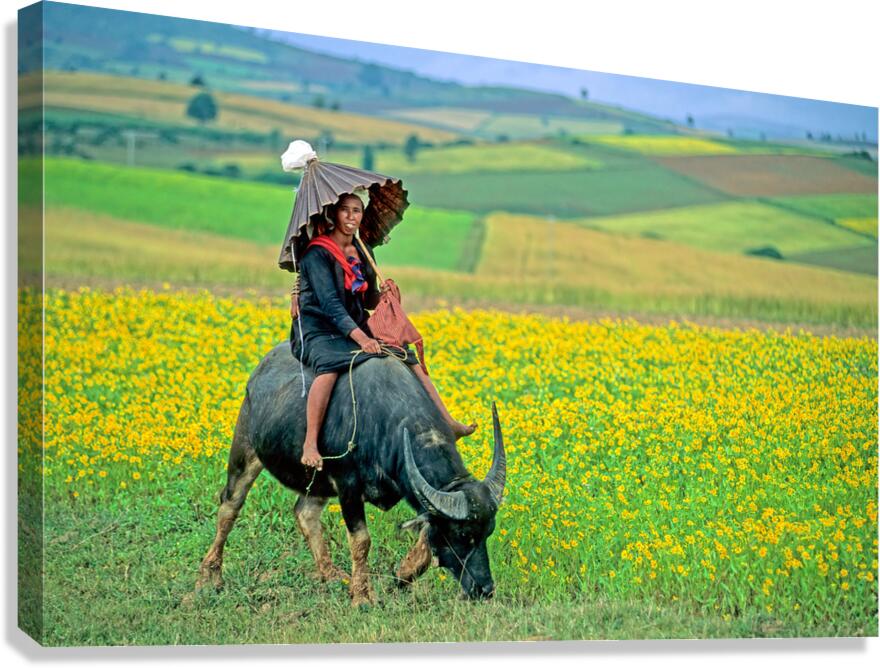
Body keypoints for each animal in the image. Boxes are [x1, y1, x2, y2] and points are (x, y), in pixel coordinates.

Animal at [193, 342, 507, 605]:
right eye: (462, 534)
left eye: (488, 531)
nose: (484, 589)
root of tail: (258, 373)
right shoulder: (348, 486)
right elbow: (361, 540)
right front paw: (362, 596)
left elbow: (426, 537)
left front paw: (403, 573)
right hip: (245, 449)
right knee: (229, 507)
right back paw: (209, 577)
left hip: (316, 481)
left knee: (305, 513)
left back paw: (332, 575)